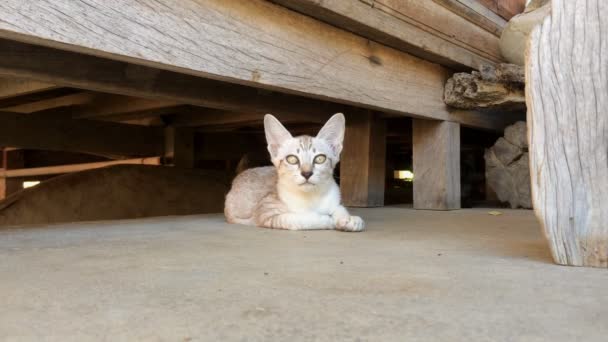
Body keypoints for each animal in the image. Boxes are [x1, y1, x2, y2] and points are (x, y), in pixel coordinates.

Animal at [226, 113, 364, 232]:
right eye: (292, 159)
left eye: (320, 159)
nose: (307, 173)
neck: (311, 198)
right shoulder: (266, 213)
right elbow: (300, 219)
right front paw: (327, 220)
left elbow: (339, 208)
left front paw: (348, 219)